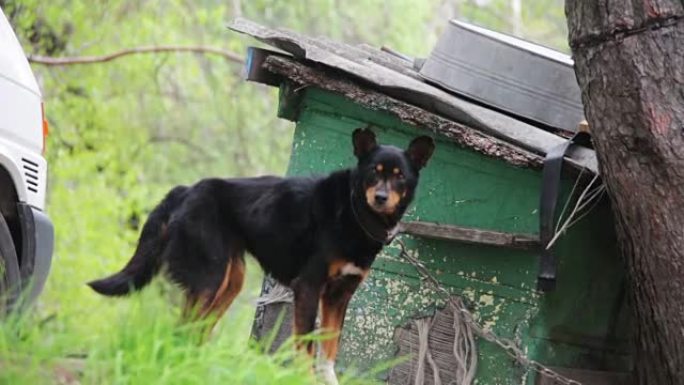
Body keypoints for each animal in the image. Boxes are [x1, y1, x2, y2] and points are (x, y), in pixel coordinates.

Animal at [89, 127, 432, 382]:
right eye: (374, 172)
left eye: (399, 175)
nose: (381, 197)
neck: (353, 212)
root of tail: (186, 189)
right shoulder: (309, 287)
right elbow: (306, 349)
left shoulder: (339, 296)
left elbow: (329, 350)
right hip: (209, 278)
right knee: (185, 326)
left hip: (230, 281)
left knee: (196, 329)